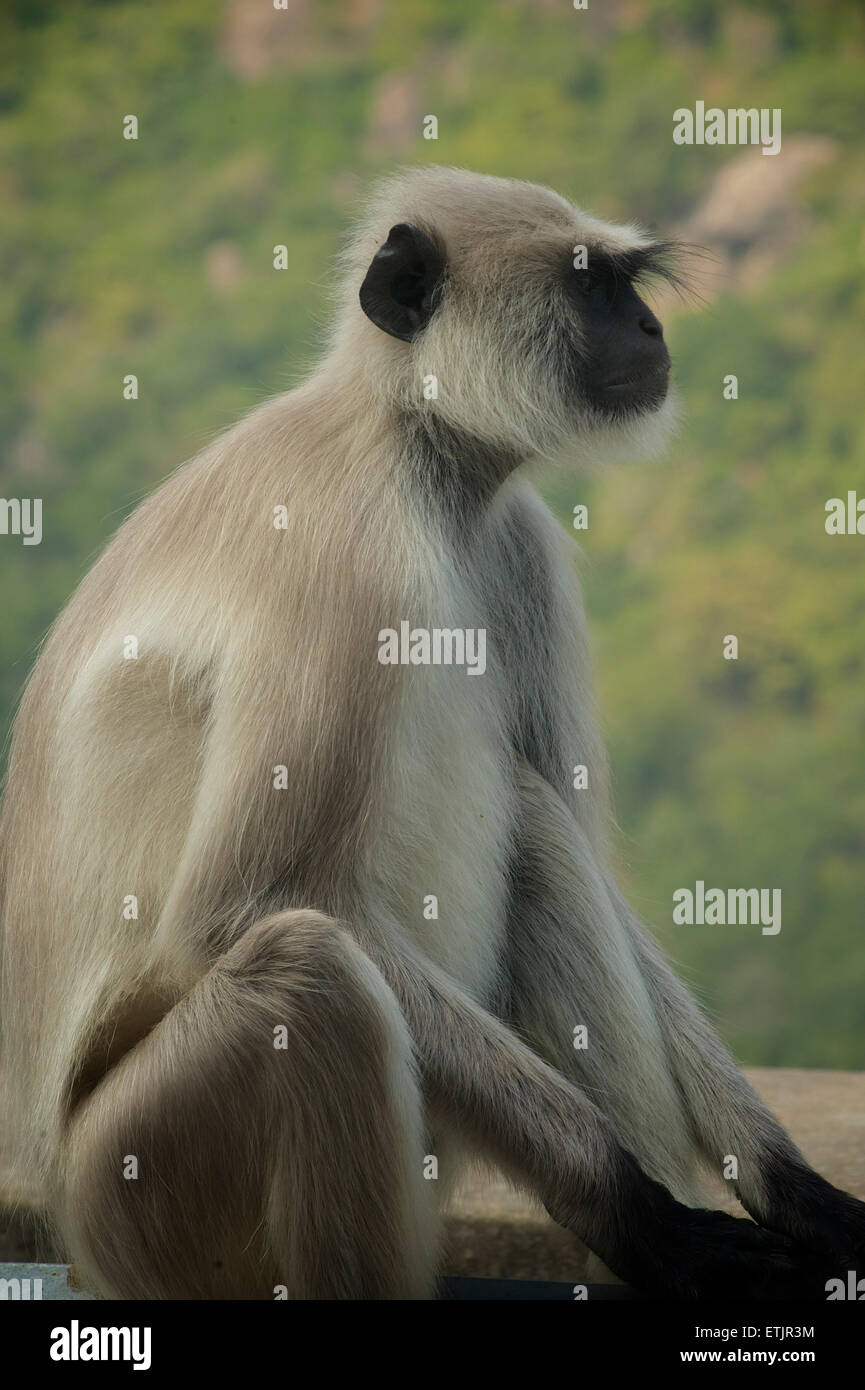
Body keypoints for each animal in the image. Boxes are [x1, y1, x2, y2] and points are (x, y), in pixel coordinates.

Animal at [1, 165, 863, 1300]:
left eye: (625, 286)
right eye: (588, 284)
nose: (647, 325)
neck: (411, 452)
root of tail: (67, 1214)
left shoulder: (516, 544)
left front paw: (789, 1188)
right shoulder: (335, 554)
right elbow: (242, 903)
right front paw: (634, 1208)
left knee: (533, 824)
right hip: (139, 1192)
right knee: (311, 975)